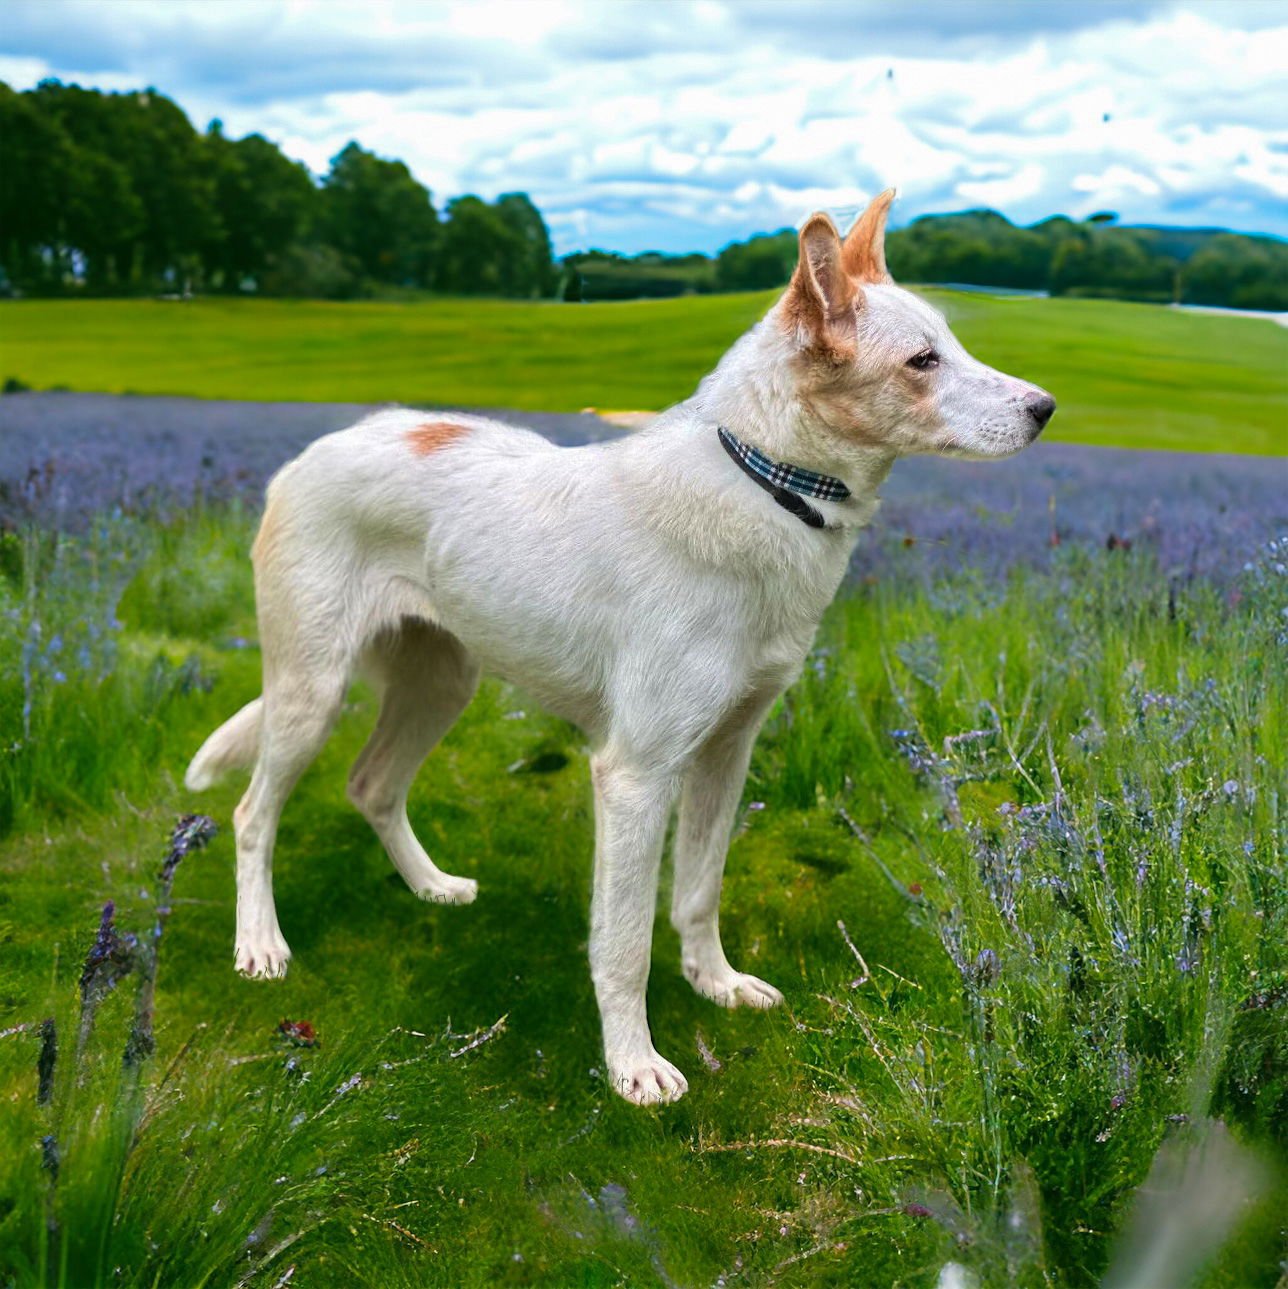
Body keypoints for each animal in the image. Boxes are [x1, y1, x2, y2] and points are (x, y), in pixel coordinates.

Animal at [186, 193, 1052, 1108]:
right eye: (922, 360)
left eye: (950, 343)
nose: (1046, 407)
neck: (767, 479)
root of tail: (311, 454)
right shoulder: (636, 774)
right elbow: (626, 940)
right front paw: (632, 1064)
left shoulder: (725, 753)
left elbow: (699, 892)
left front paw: (716, 983)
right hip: (310, 690)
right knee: (252, 814)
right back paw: (260, 944)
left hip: (442, 683)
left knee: (372, 784)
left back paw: (430, 886)